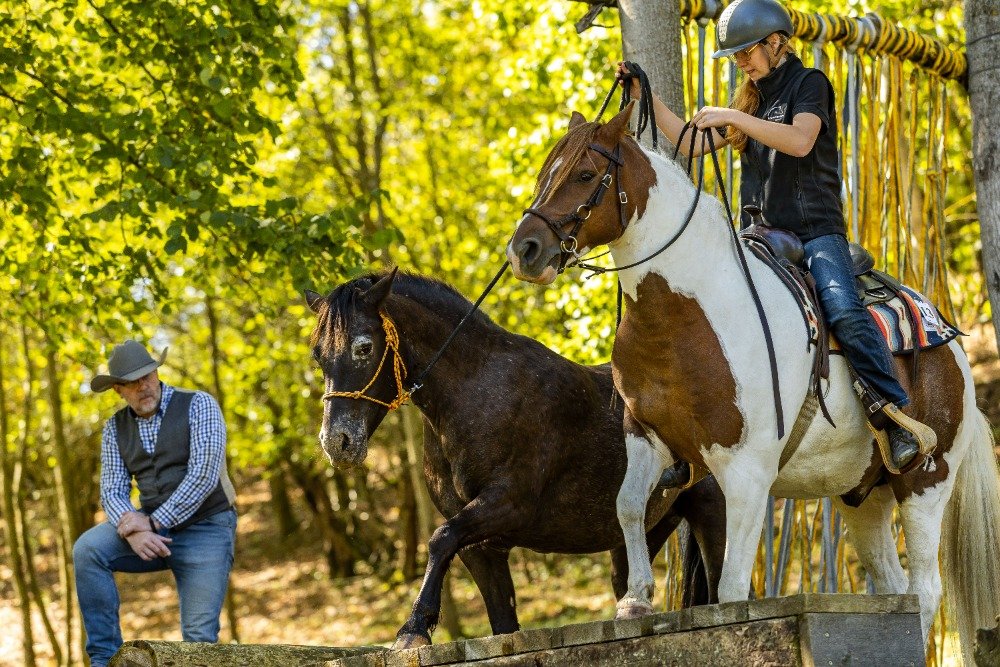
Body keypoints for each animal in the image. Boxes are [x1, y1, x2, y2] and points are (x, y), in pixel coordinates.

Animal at [304, 270, 728, 648]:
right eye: (318, 357)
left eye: (363, 347)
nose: (337, 442)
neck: (476, 392)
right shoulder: (483, 549)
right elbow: (500, 620)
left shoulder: (508, 505)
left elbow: (440, 539)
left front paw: (414, 629)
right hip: (641, 533)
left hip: (714, 512)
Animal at [508, 104, 1000, 656]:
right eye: (544, 174)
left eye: (586, 175)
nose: (524, 250)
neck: (686, 311)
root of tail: (953, 345)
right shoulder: (643, 434)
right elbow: (629, 506)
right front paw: (634, 602)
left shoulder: (747, 470)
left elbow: (731, 590)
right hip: (862, 493)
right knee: (896, 587)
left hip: (924, 482)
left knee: (926, 589)